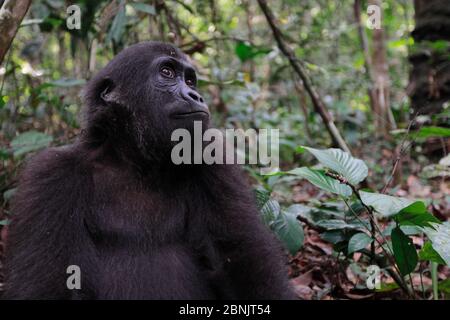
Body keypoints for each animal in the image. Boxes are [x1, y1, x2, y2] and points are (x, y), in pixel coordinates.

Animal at [2, 42, 296, 300]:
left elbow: (243, 257)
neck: (135, 160)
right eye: (166, 72)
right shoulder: (51, 175)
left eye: (190, 81)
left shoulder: (213, 161)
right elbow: (42, 284)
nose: (196, 95)